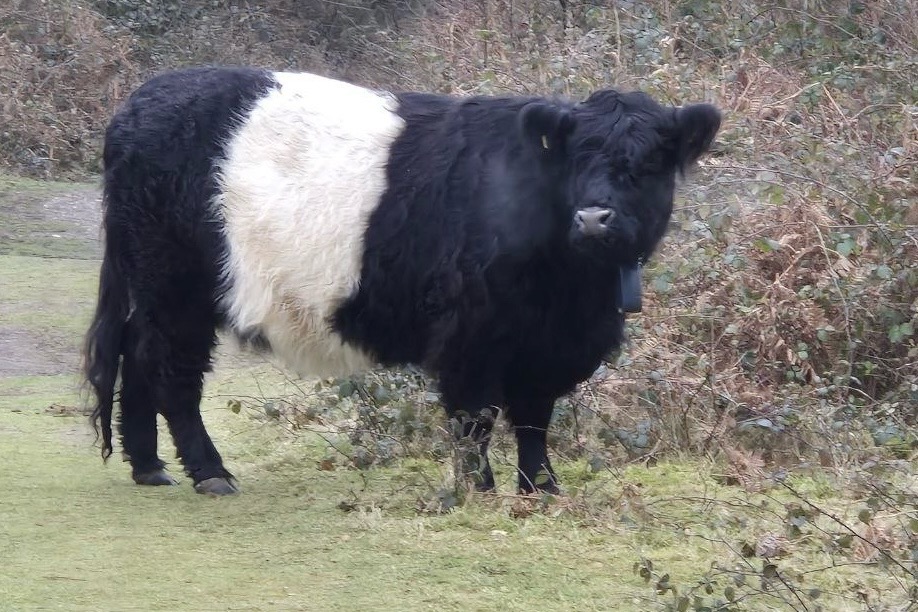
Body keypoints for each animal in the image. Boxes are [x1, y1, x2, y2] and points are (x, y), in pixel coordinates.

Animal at [84, 65, 720, 498]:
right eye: (577, 156)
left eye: (649, 162)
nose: (592, 218)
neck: (575, 294)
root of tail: (136, 104)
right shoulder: (470, 335)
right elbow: (475, 419)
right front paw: (479, 491)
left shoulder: (548, 346)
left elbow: (534, 418)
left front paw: (542, 489)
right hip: (175, 286)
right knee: (172, 371)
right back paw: (209, 472)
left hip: (155, 287)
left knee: (137, 356)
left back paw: (150, 467)